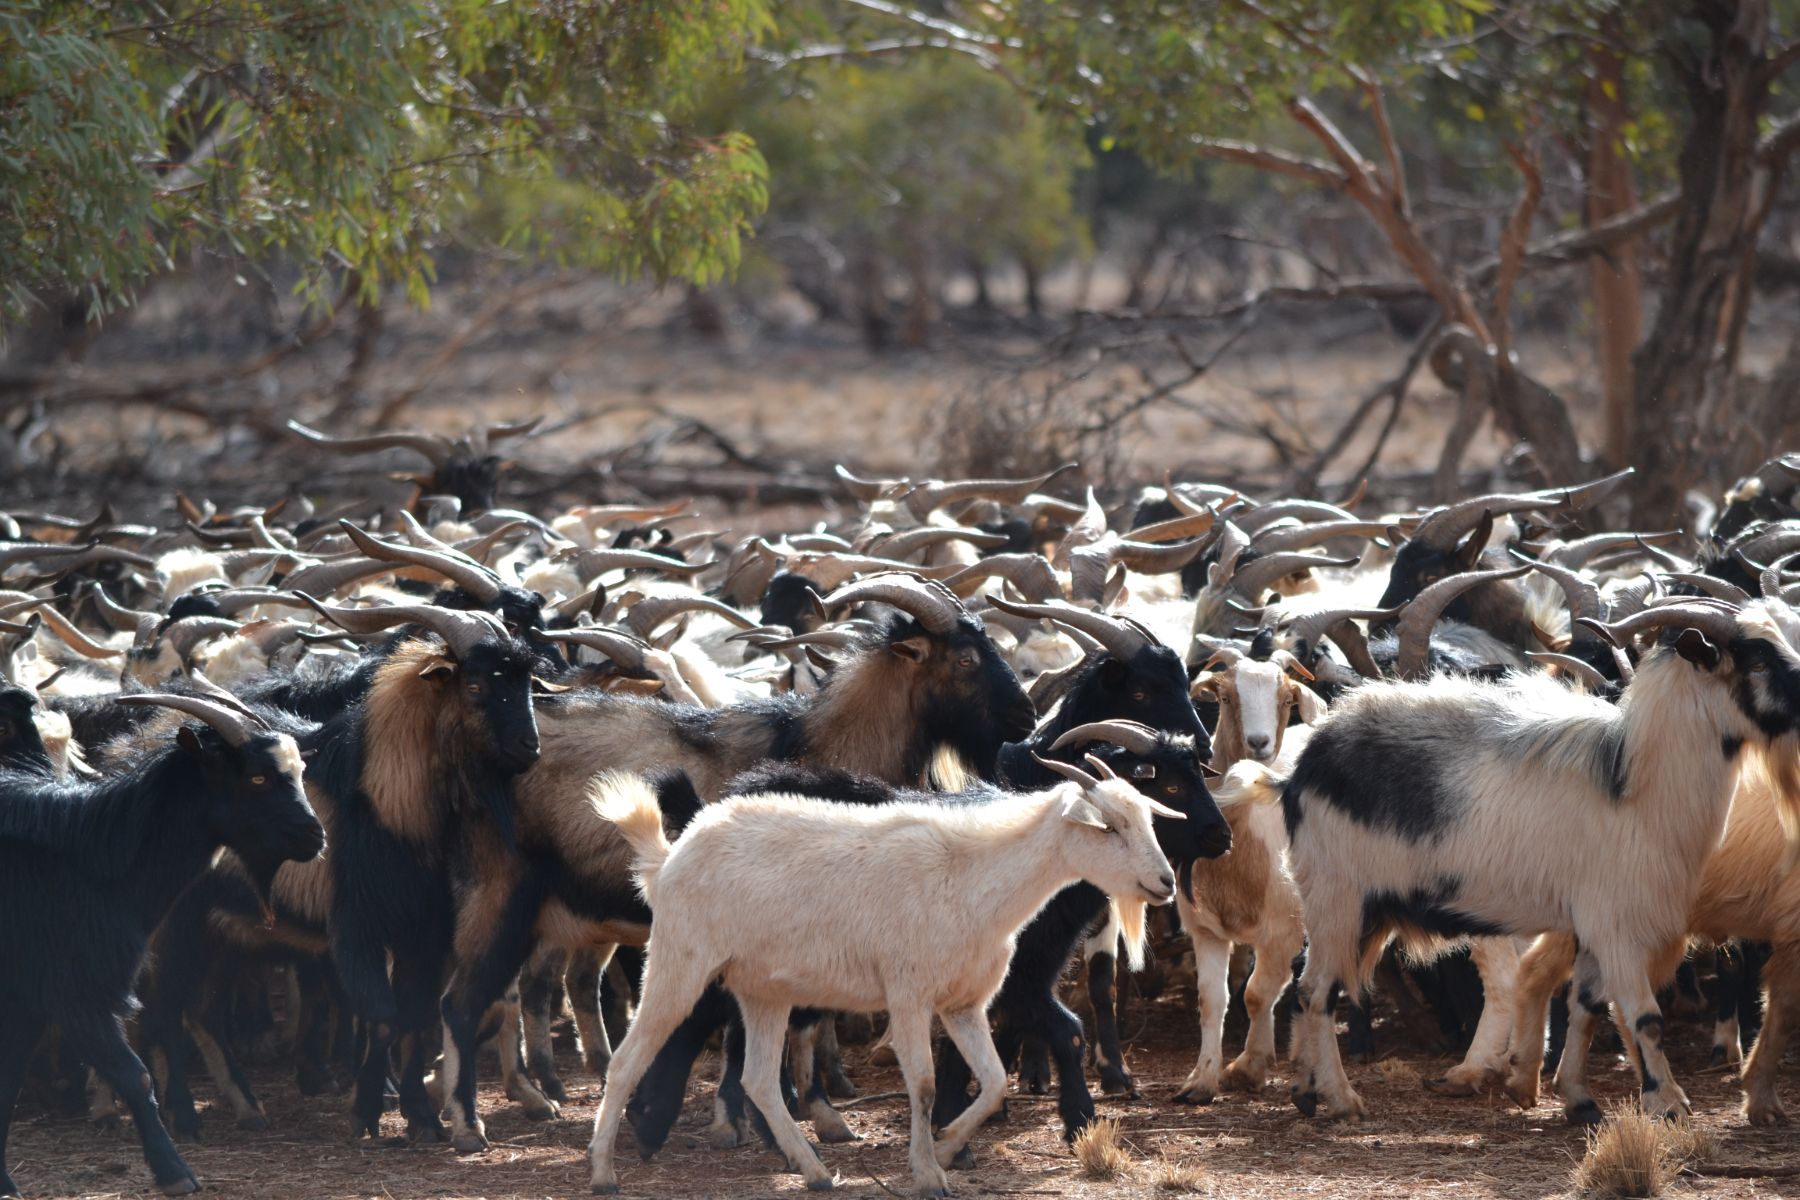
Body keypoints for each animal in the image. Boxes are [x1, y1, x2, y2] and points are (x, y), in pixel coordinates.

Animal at [0, 693, 324, 1198]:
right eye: (257, 777)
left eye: (299, 772)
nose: (316, 836)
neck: (93, 858)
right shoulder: (77, 990)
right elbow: (134, 1075)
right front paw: (176, 1173)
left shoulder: (26, 999)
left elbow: (7, 1082)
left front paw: (6, 1182)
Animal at [584, 753, 1179, 1198]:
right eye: (1110, 827)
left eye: (1147, 819)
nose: (1166, 882)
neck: (972, 876)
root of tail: (669, 857)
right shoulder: (909, 993)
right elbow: (923, 1082)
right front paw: (928, 1172)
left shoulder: (964, 1002)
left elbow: (991, 1082)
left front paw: (947, 1145)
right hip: (680, 960)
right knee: (628, 1058)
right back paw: (604, 1172)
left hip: (762, 990)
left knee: (758, 1079)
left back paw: (815, 1171)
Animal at [1221, 596, 1800, 1122]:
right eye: (1757, 662)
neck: (1634, 784)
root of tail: (1296, 775)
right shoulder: (1618, 923)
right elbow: (1645, 1018)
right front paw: (1669, 1105)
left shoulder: (1590, 925)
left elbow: (1587, 1007)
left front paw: (1578, 1100)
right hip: (1337, 898)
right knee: (1318, 992)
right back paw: (1342, 1101)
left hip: (1362, 913)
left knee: (1309, 990)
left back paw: (1305, 1092)